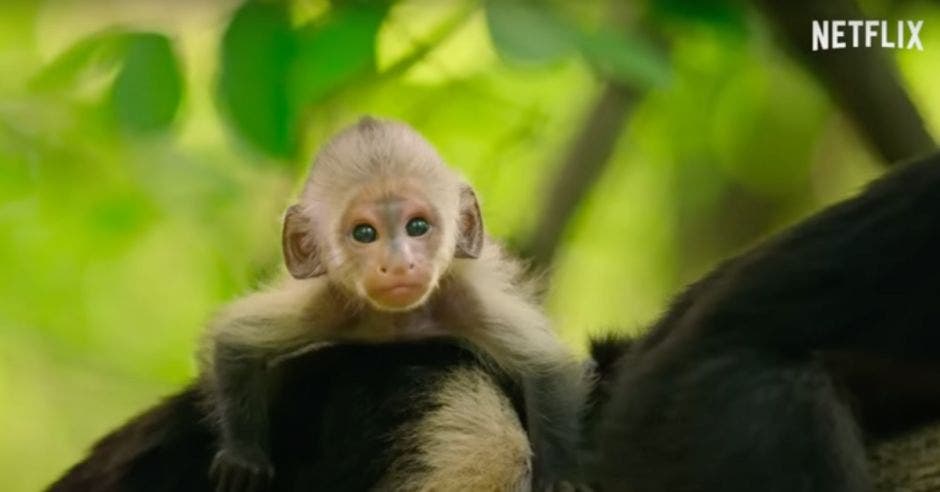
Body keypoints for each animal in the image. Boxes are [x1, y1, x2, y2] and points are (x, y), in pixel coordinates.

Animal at [204, 116, 588, 492]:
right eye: (364, 233)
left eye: (417, 226)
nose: (400, 263)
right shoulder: (325, 304)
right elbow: (236, 342)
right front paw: (244, 455)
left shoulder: (464, 298)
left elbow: (545, 365)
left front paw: (558, 477)